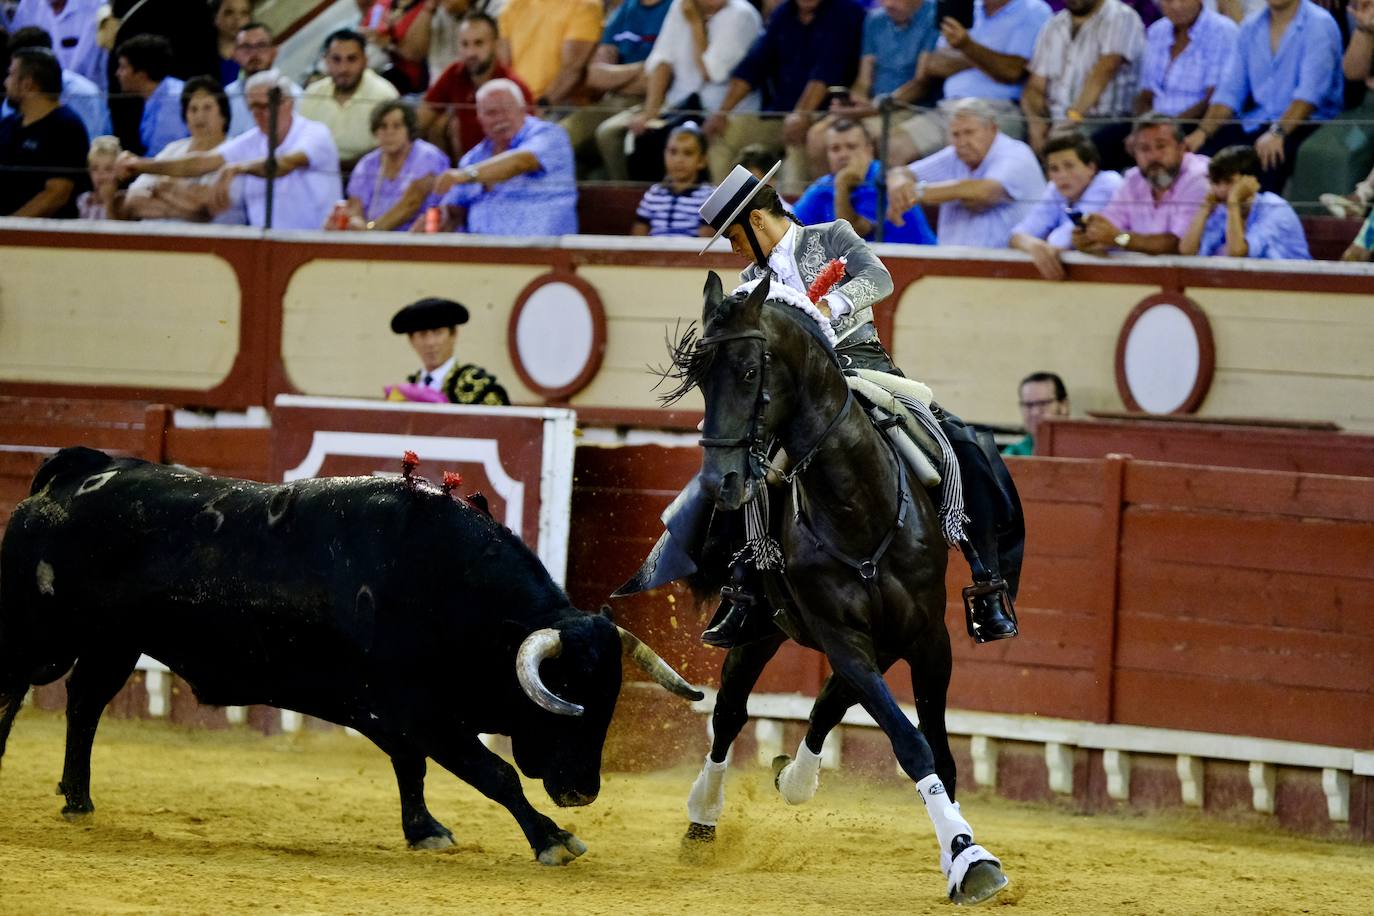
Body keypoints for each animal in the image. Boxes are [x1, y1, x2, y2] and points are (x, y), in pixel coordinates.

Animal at [0, 447, 703, 862]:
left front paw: (424, 831)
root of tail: (72, 474)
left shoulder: (398, 717)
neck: (447, 589)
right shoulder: (419, 712)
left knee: (85, 704)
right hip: (39, 637)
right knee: (14, 694)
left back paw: (78, 800)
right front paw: (553, 839)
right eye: (567, 700)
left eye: (611, 702)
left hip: (114, 644)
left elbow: (412, 770)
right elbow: (493, 773)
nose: (583, 791)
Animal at [659, 276, 1005, 906]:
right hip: (760, 630)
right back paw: (703, 817)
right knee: (729, 714)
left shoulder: (926, 638)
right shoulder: (843, 636)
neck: (857, 502)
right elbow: (908, 741)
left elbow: (933, 747)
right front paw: (969, 856)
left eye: (749, 370)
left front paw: (964, 854)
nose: (721, 483)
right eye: (698, 377)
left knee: (823, 704)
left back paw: (793, 778)